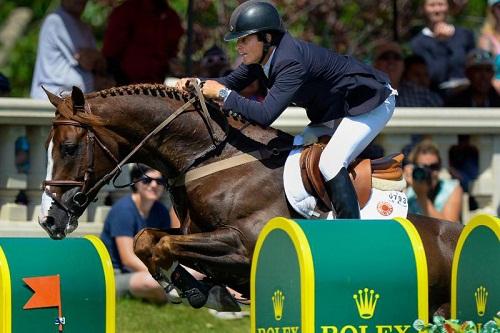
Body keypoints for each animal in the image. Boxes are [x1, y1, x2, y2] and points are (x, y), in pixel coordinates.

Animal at [39, 83, 460, 316]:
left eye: (69, 147)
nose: (49, 220)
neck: (210, 158)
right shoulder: (194, 231)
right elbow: (148, 239)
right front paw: (197, 290)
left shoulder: (244, 245)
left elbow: (165, 246)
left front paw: (189, 288)